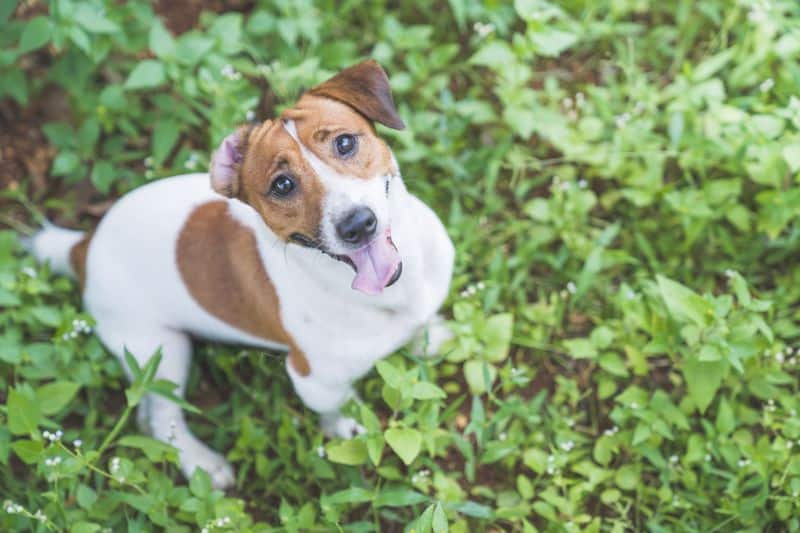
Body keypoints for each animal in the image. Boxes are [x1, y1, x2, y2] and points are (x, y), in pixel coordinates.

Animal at [28, 60, 454, 488]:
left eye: (346, 143)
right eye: (282, 185)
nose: (358, 224)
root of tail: (84, 245)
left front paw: (431, 336)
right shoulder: (315, 380)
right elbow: (338, 410)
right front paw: (346, 429)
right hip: (161, 350)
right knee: (162, 419)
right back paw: (202, 463)